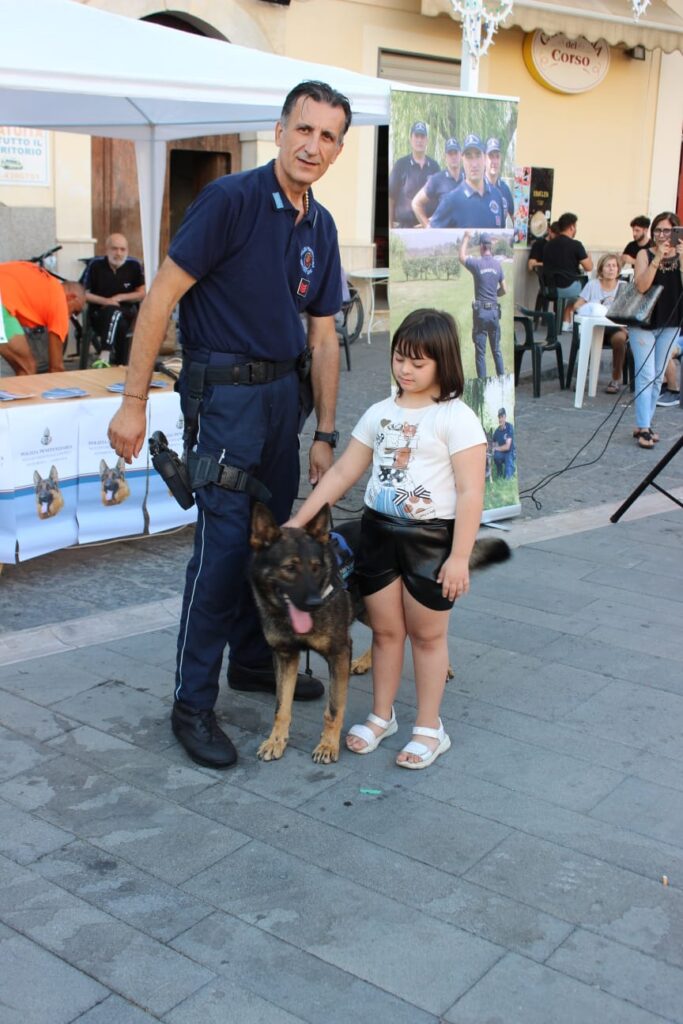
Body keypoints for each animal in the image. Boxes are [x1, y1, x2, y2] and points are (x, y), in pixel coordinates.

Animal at [248, 499, 509, 765]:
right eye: (290, 568)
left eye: (316, 568)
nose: (315, 603)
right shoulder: (285, 656)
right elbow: (281, 706)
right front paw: (276, 740)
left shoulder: (338, 653)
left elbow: (333, 709)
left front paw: (328, 745)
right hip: (371, 607)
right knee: (392, 632)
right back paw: (366, 661)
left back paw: (443, 666)